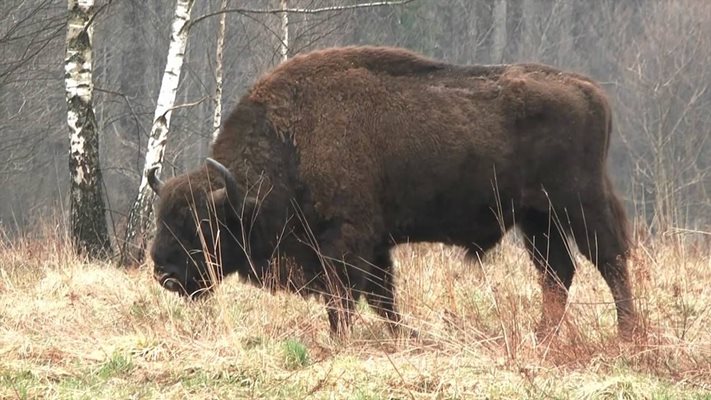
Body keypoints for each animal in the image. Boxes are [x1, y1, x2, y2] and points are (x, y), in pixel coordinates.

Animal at [149, 45, 640, 340]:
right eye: (162, 218)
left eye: (203, 223)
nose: (165, 274)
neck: (289, 144)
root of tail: (589, 90)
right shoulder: (375, 245)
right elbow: (382, 298)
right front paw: (404, 336)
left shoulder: (345, 241)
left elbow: (346, 298)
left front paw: (340, 340)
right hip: (536, 219)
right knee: (557, 272)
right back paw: (542, 336)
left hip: (580, 204)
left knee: (610, 261)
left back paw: (627, 335)